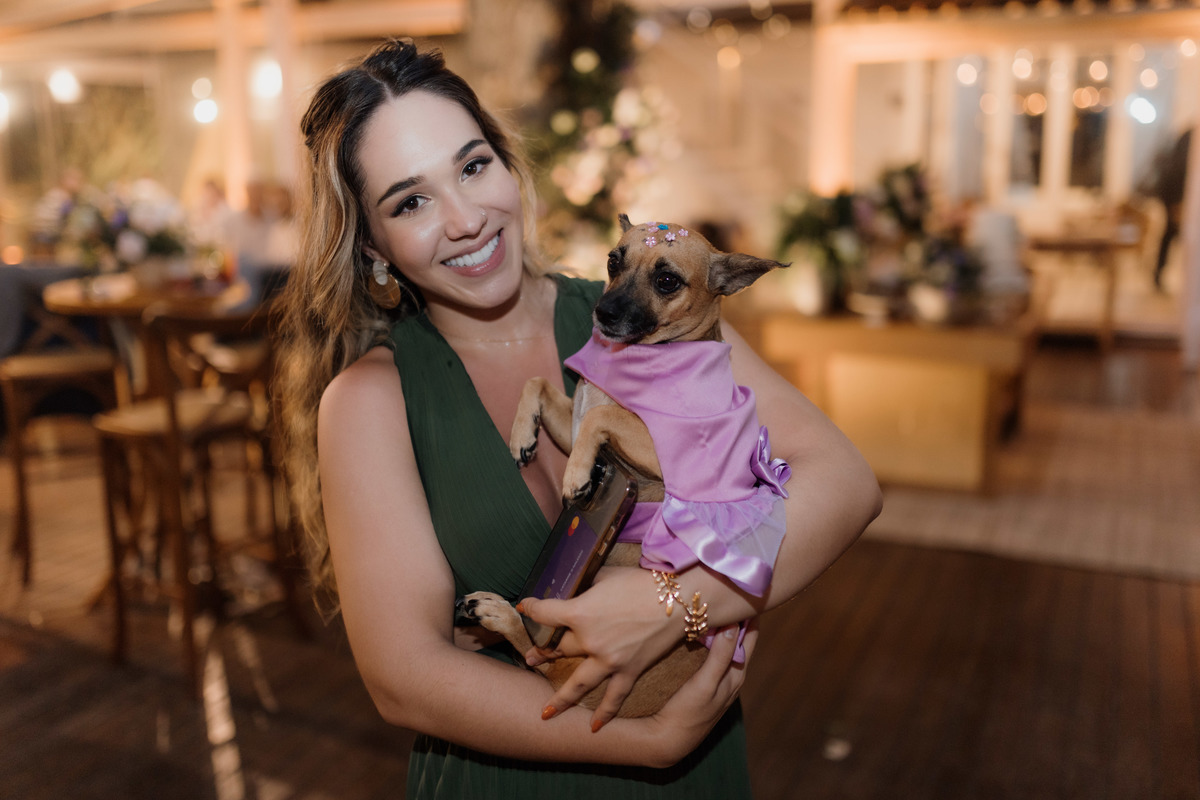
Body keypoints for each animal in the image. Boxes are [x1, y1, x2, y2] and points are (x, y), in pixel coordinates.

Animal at [456, 214, 789, 717]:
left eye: (667, 281)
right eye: (614, 260)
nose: (603, 313)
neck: (639, 357)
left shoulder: (655, 448)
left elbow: (603, 416)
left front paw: (576, 477)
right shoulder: (572, 420)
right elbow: (541, 386)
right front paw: (522, 436)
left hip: (569, 643)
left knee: (538, 656)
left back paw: (498, 613)